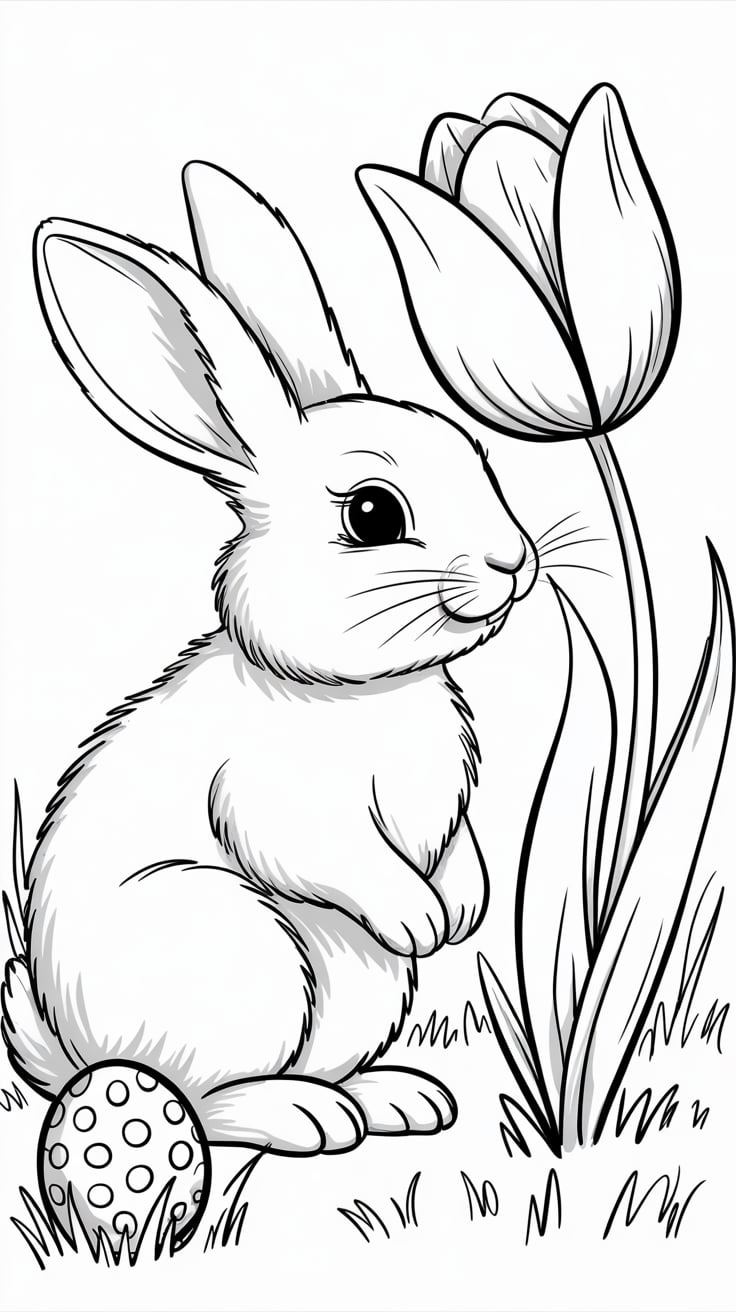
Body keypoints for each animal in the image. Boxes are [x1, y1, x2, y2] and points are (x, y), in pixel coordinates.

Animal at [2, 162, 538, 1155]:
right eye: (373, 513)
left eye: (478, 456)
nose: (513, 561)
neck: (353, 695)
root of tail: (74, 1054)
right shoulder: (277, 802)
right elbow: (329, 856)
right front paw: (424, 918)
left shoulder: (448, 818)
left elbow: (463, 854)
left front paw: (464, 910)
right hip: (241, 950)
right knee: (201, 1099)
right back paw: (305, 1117)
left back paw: (399, 1100)